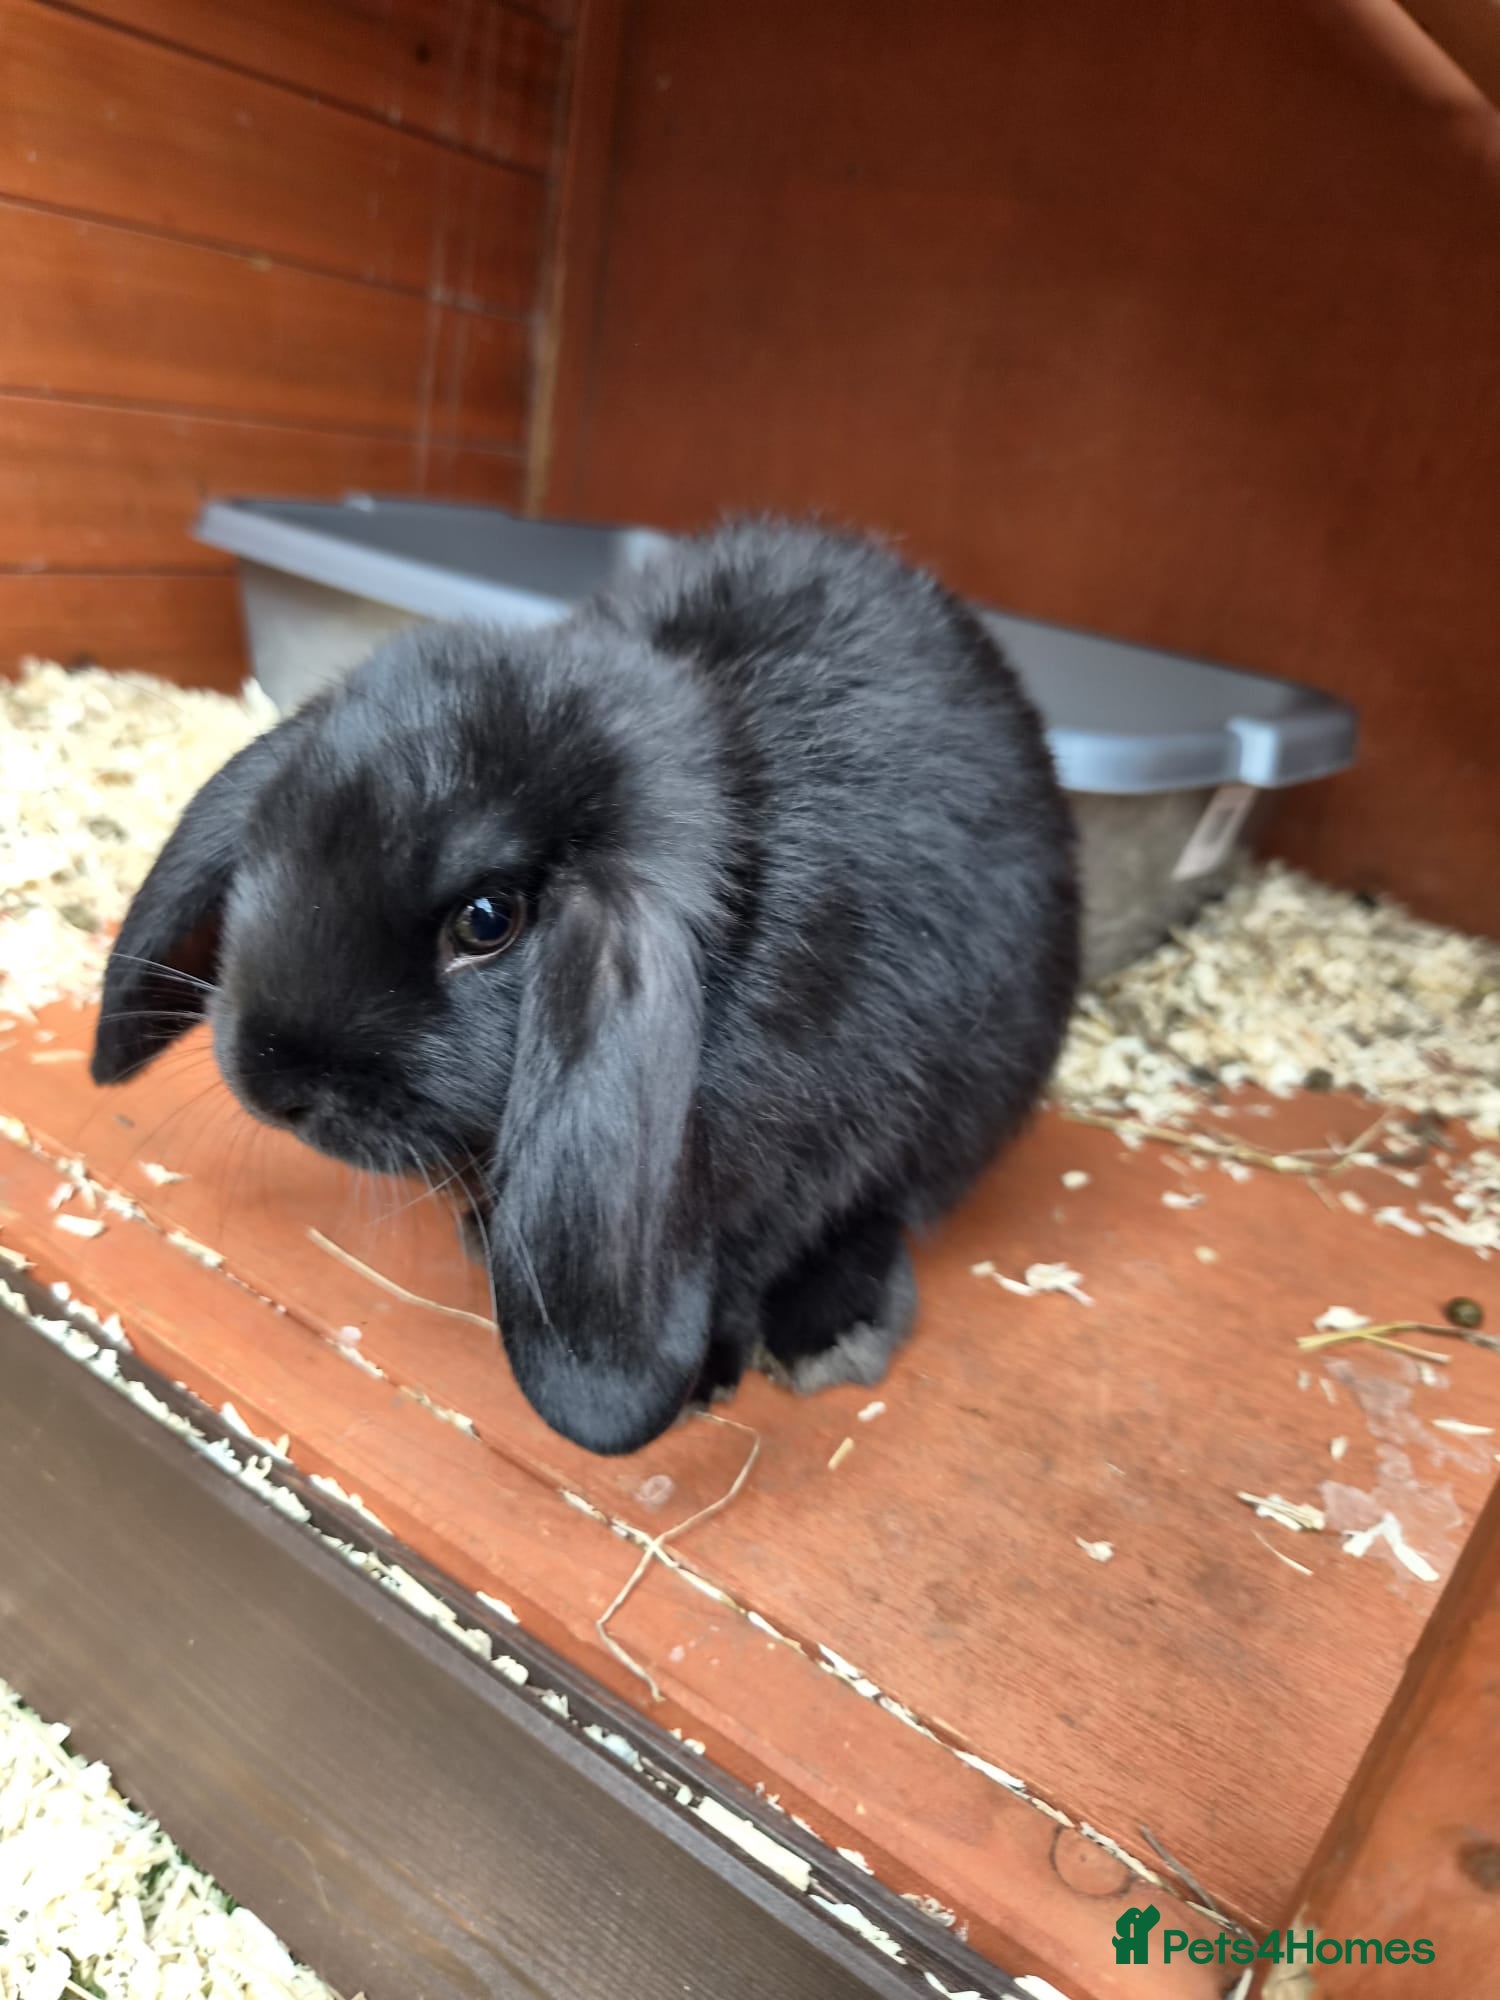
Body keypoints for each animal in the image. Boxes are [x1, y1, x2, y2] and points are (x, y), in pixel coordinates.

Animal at [92, 518, 1080, 1455]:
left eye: (487, 920)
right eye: (271, 837)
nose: (273, 1085)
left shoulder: (815, 1150)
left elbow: (757, 1250)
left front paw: (704, 1375)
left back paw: (832, 1333)